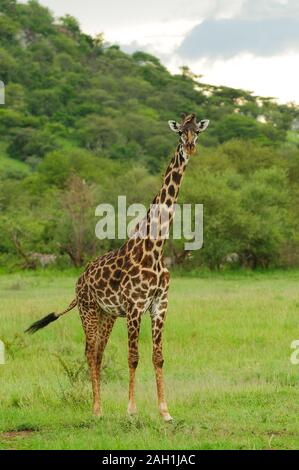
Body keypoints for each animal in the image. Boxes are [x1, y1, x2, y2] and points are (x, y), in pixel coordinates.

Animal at [26, 114, 211, 422]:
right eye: (179, 133)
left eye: (197, 132)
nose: (190, 148)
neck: (156, 248)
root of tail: (79, 281)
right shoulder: (135, 307)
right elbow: (133, 357)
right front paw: (132, 411)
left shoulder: (160, 305)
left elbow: (158, 356)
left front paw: (165, 412)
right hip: (88, 310)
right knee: (90, 352)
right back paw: (96, 410)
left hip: (107, 314)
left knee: (99, 352)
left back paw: (99, 407)